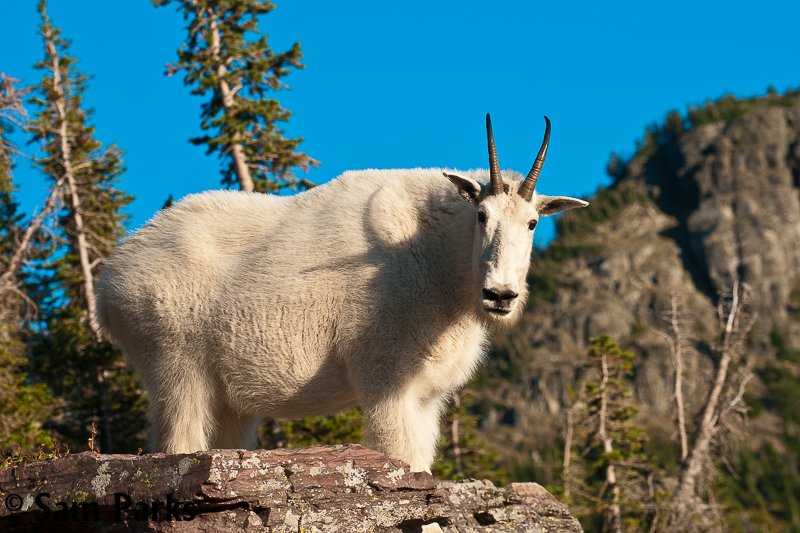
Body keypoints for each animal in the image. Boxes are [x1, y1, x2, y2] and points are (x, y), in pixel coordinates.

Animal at [95, 114, 588, 472]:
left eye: (533, 223)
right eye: (482, 216)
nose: (500, 295)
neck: (439, 261)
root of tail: (110, 281)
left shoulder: (427, 397)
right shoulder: (385, 379)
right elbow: (405, 460)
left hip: (227, 395)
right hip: (174, 364)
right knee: (176, 439)